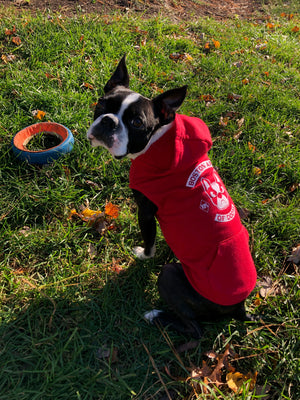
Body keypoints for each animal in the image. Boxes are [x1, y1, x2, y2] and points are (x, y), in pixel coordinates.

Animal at [86, 55, 258, 338]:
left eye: (136, 123)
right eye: (101, 104)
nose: (108, 121)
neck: (157, 143)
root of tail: (240, 307)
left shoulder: (145, 210)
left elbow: (149, 240)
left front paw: (144, 255)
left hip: (169, 278)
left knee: (195, 329)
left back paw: (156, 316)